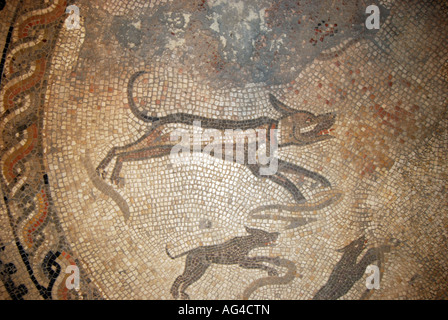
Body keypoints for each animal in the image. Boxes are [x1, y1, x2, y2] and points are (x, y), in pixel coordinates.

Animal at [98, 72, 336, 202]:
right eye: (309, 119)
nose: (332, 115)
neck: (272, 133)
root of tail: (162, 118)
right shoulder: (258, 169)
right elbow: (288, 181)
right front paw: (301, 199)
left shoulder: (272, 163)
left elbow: (301, 170)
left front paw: (323, 182)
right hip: (153, 142)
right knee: (119, 150)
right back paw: (106, 170)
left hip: (157, 149)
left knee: (123, 153)